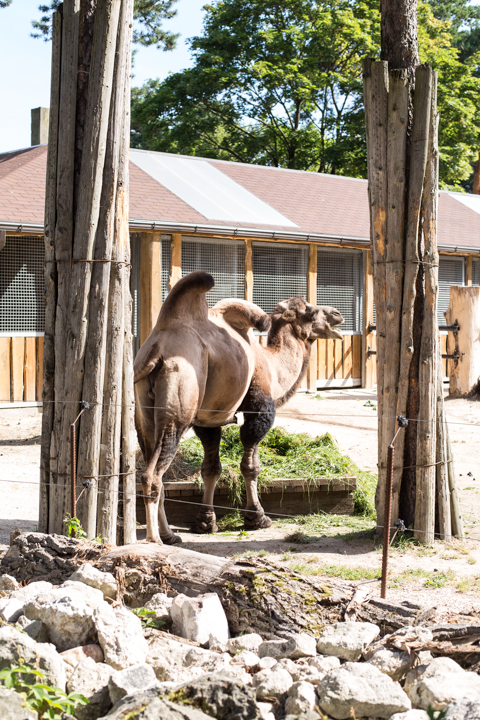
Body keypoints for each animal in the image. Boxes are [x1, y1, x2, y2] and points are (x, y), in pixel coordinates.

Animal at [134, 270, 344, 544]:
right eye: (309, 311)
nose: (337, 313)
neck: (272, 365)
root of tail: (158, 348)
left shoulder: (207, 421)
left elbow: (211, 468)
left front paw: (205, 522)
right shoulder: (259, 410)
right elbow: (251, 466)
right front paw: (257, 518)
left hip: (143, 409)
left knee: (150, 461)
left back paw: (170, 535)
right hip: (179, 406)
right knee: (153, 474)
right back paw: (156, 540)